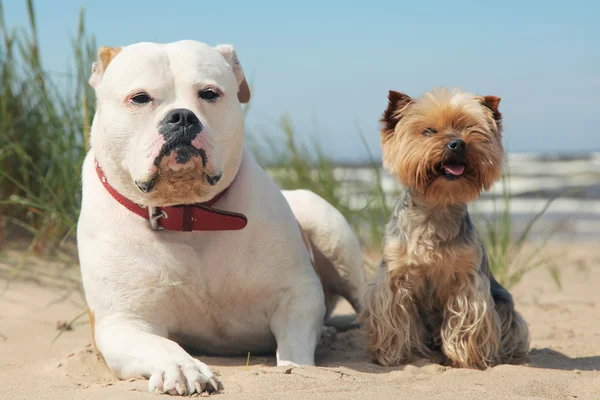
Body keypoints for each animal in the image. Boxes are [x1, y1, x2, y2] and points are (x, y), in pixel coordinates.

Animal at [76, 39, 366, 396]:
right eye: (140, 98)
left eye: (209, 93)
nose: (182, 117)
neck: (188, 214)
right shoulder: (120, 322)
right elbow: (159, 344)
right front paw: (182, 366)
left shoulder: (298, 293)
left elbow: (295, 345)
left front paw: (297, 367)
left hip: (326, 225)